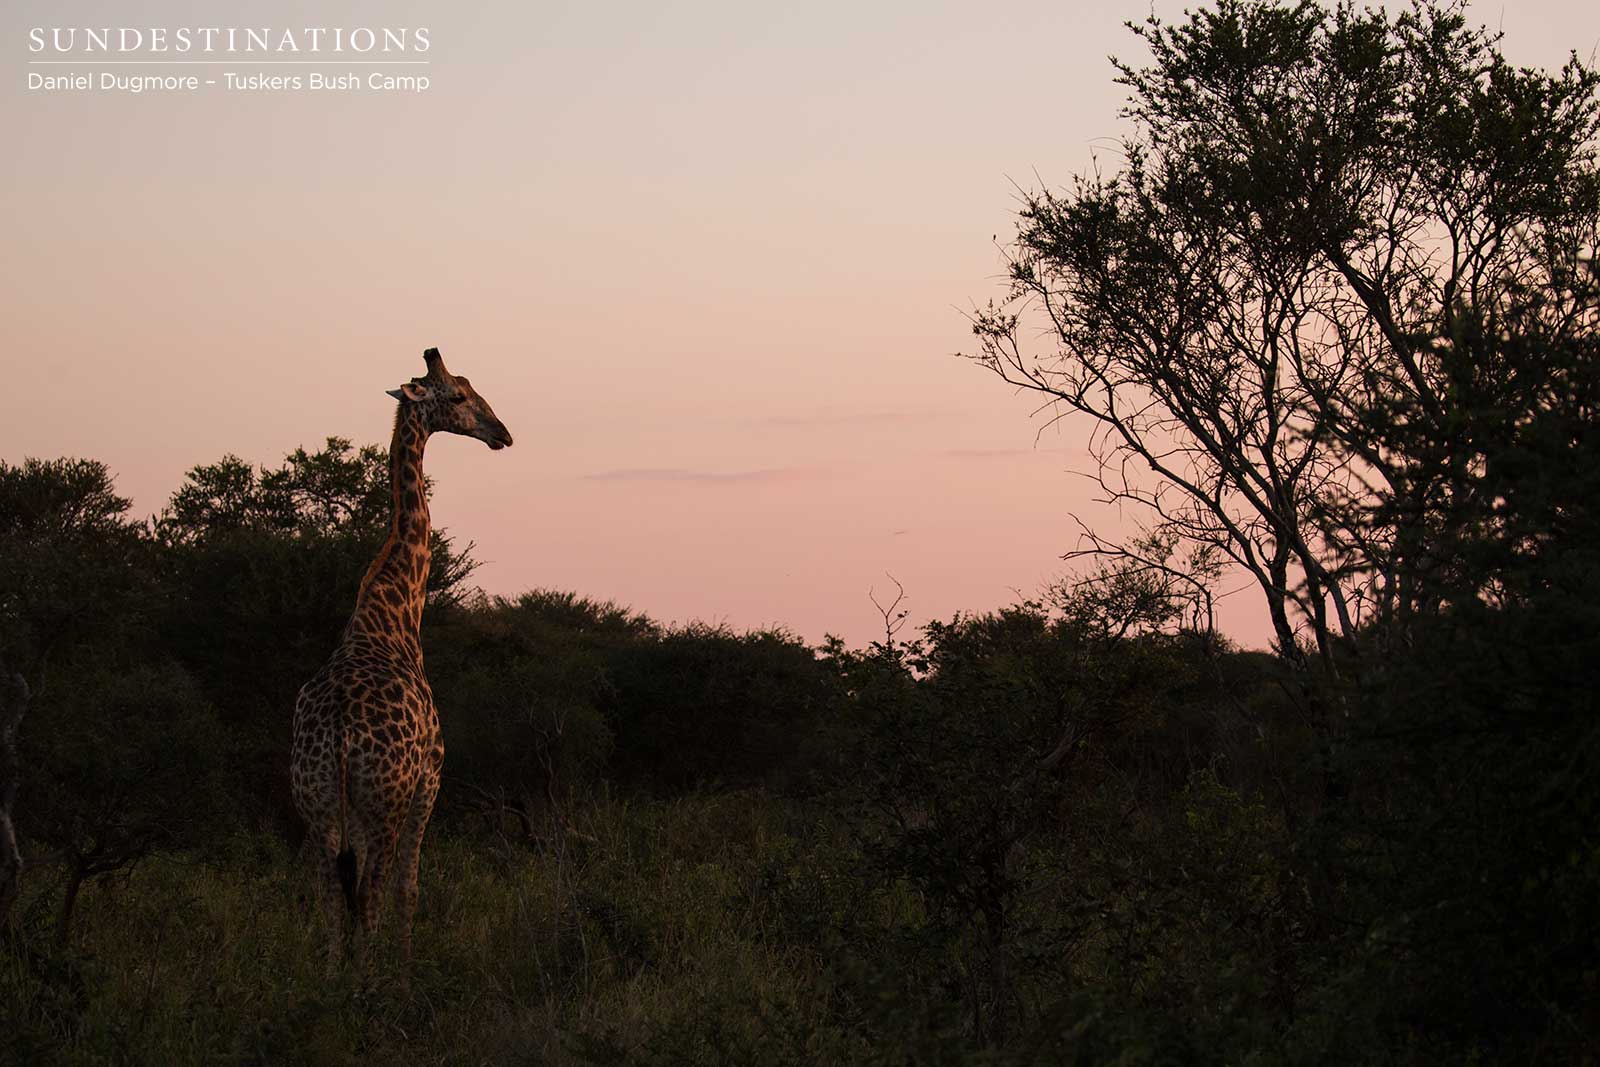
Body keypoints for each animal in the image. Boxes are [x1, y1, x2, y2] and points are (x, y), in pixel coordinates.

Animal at [290, 347, 512, 970]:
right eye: (458, 395)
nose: (502, 433)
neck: (393, 611)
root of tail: (340, 736)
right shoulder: (430, 778)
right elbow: (409, 889)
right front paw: (407, 971)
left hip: (318, 806)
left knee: (329, 901)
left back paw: (331, 982)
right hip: (383, 803)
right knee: (368, 897)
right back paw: (373, 982)